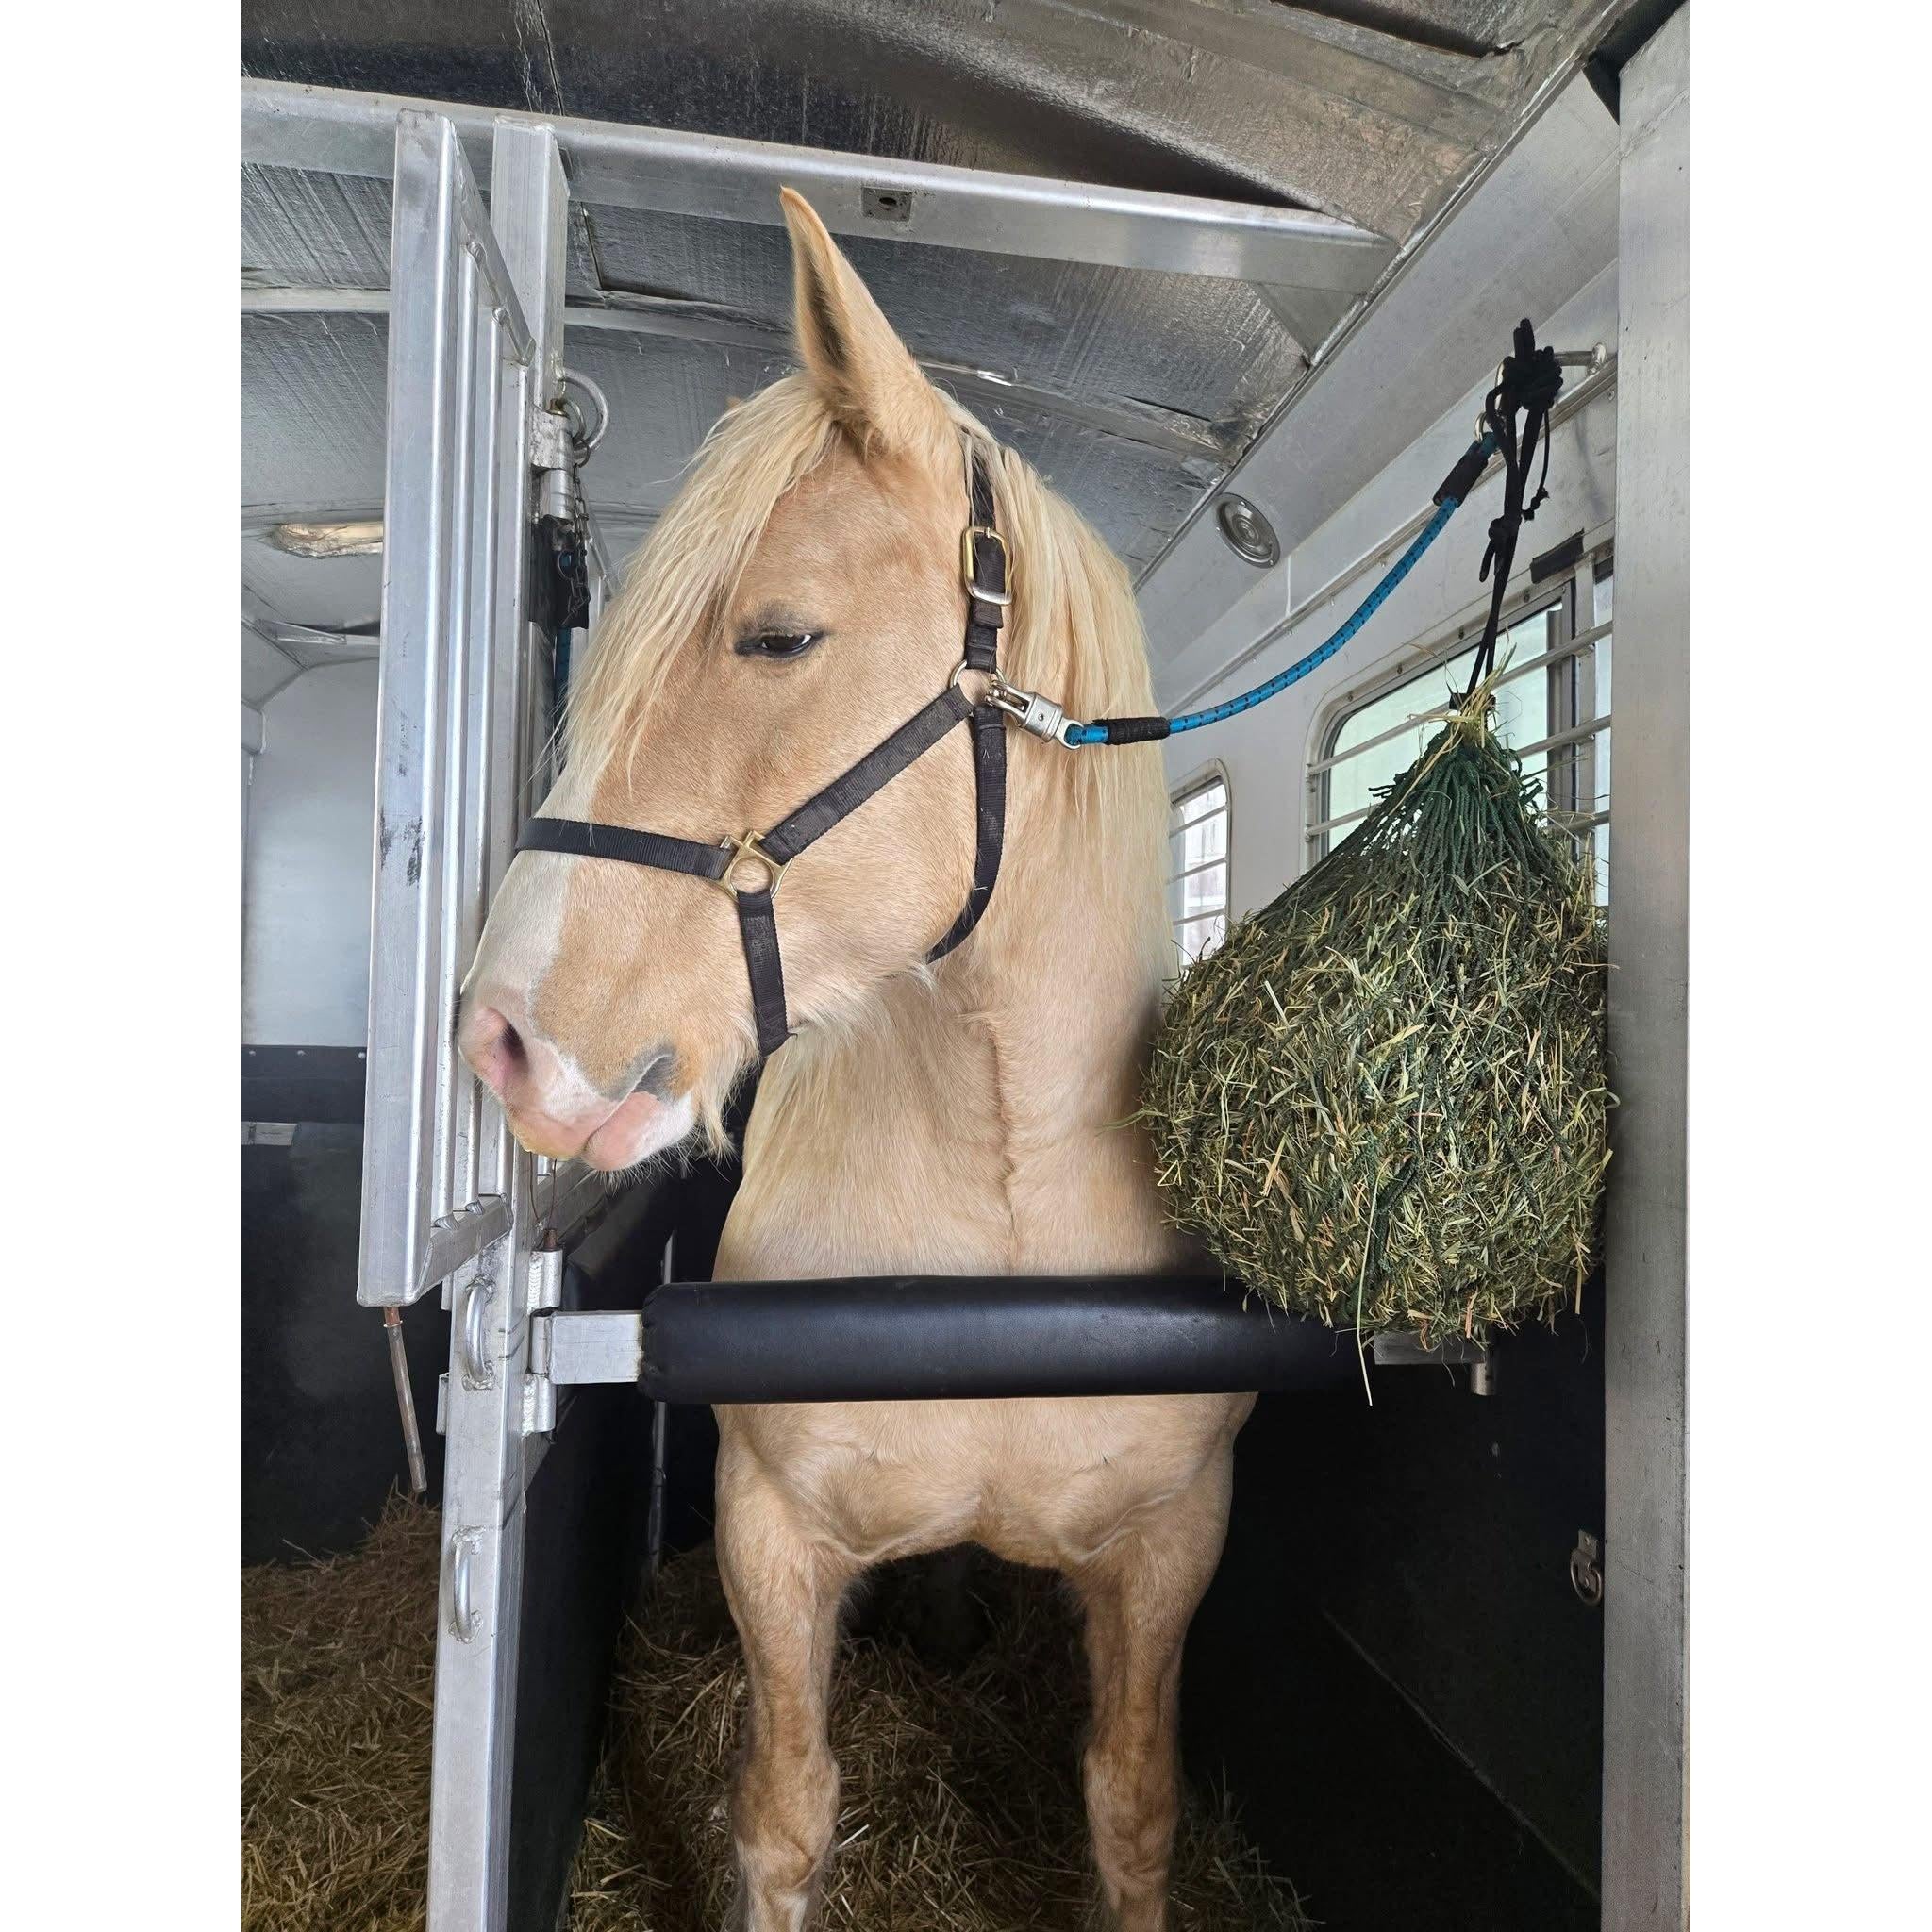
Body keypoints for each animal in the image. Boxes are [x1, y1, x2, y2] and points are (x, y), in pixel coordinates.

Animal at [459, 188, 1254, 1932]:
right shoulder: (770, 1536)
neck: (1003, 1199)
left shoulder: (1171, 1551)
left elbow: (1132, 1810)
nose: (502, 1039)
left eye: (778, 635)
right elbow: (783, 1813)